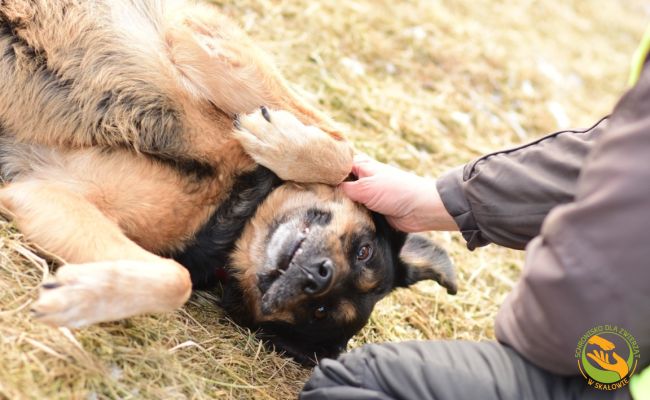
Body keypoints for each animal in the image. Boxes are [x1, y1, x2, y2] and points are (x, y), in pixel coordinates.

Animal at [0, 0, 456, 364]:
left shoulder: (43, 192)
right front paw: (280, 140)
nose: (319, 276)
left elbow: (175, 280)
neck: (238, 207)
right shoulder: (199, 30)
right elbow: (340, 147)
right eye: (364, 251)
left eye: (319, 312)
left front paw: (80, 296)